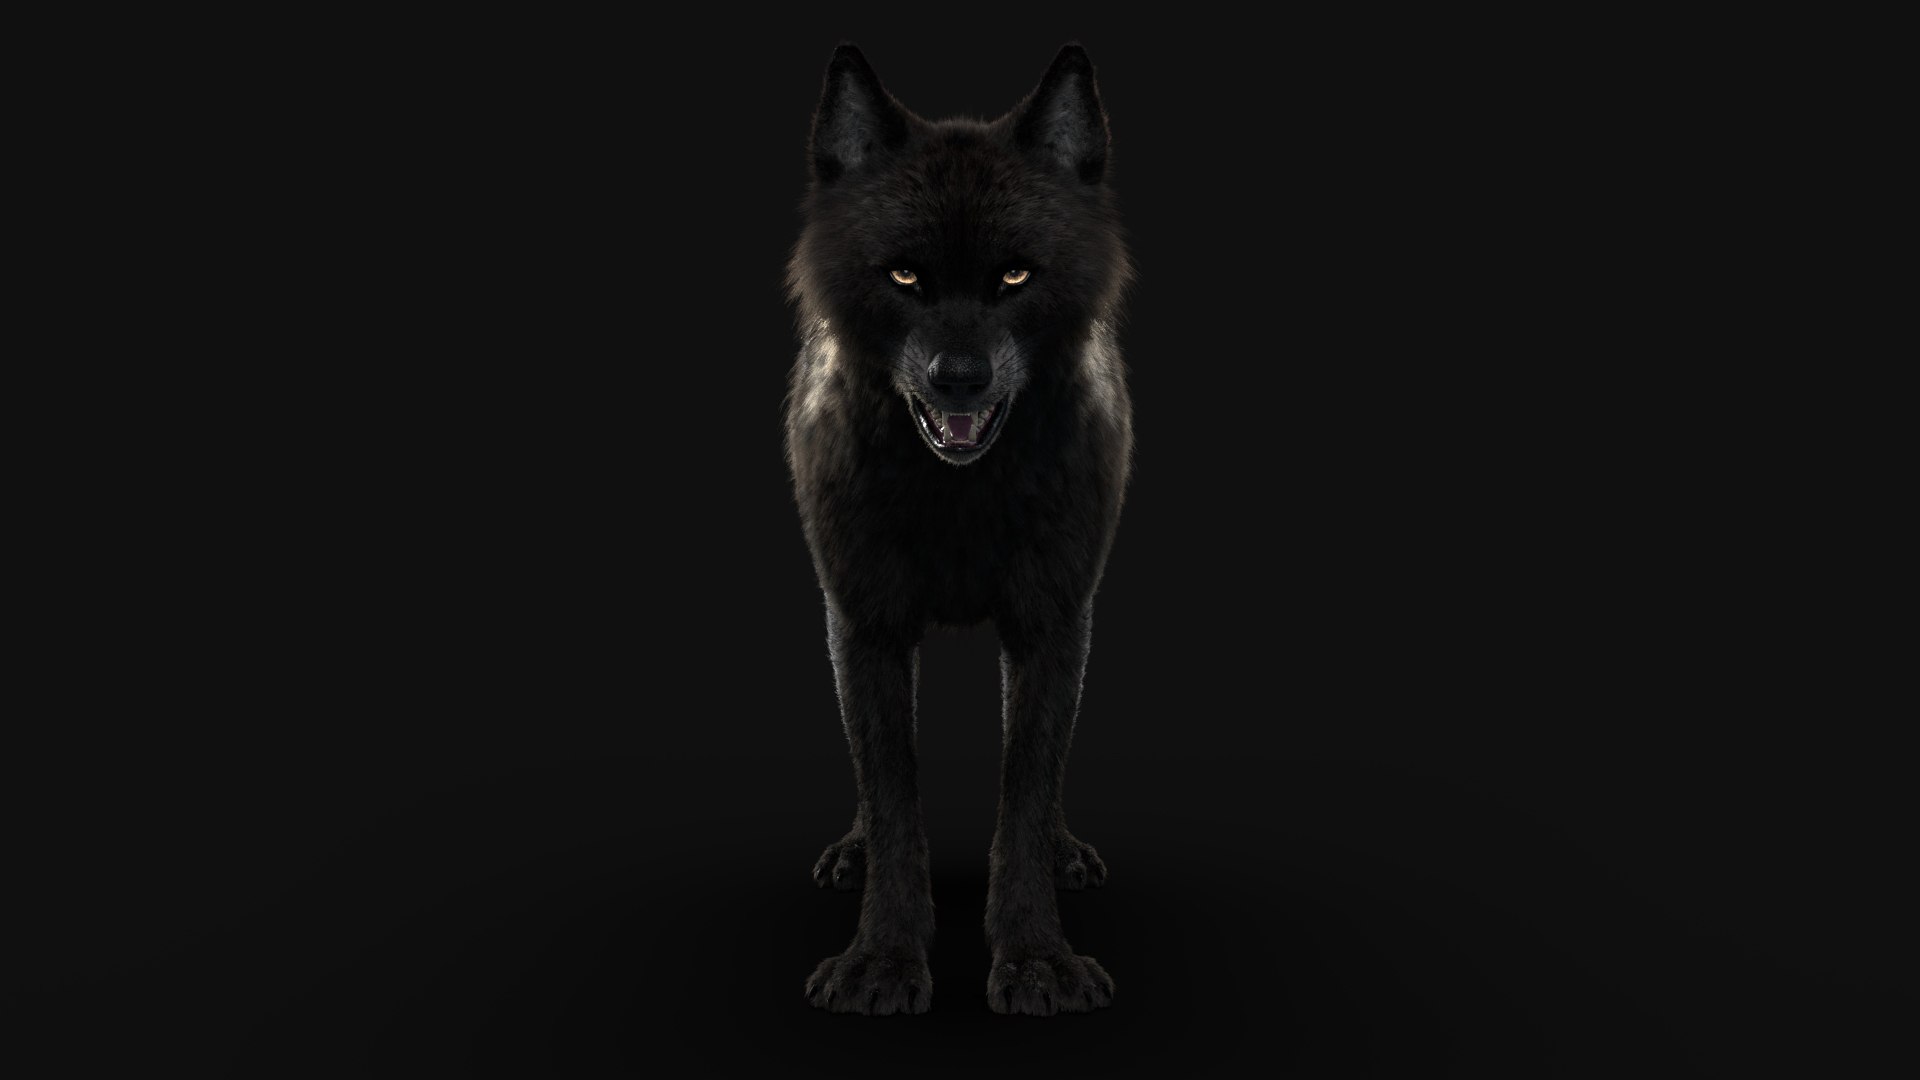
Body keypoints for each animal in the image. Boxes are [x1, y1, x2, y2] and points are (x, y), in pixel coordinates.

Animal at [783, 42, 1133, 1016]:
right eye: (904, 276)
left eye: (1015, 275)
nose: (959, 378)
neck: (960, 498)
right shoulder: (864, 624)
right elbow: (893, 796)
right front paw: (881, 963)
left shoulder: (1054, 622)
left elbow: (1026, 792)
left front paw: (1037, 960)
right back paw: (849, 851)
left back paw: (1068, 852)